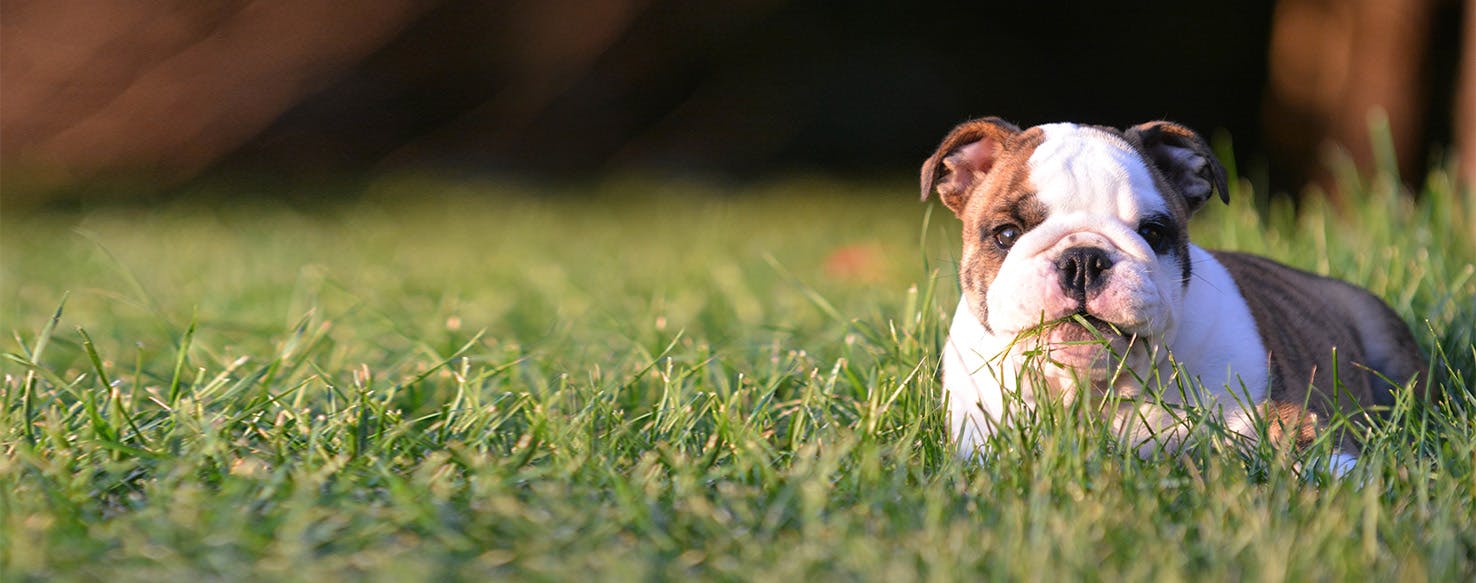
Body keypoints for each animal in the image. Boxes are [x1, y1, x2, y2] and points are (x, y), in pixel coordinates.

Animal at [921, 118, 1428, 475]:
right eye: (1006, 234)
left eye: (1153, 233)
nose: (1083, 259)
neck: (1095, 393)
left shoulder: (1291, 417)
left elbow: (1323, 453)